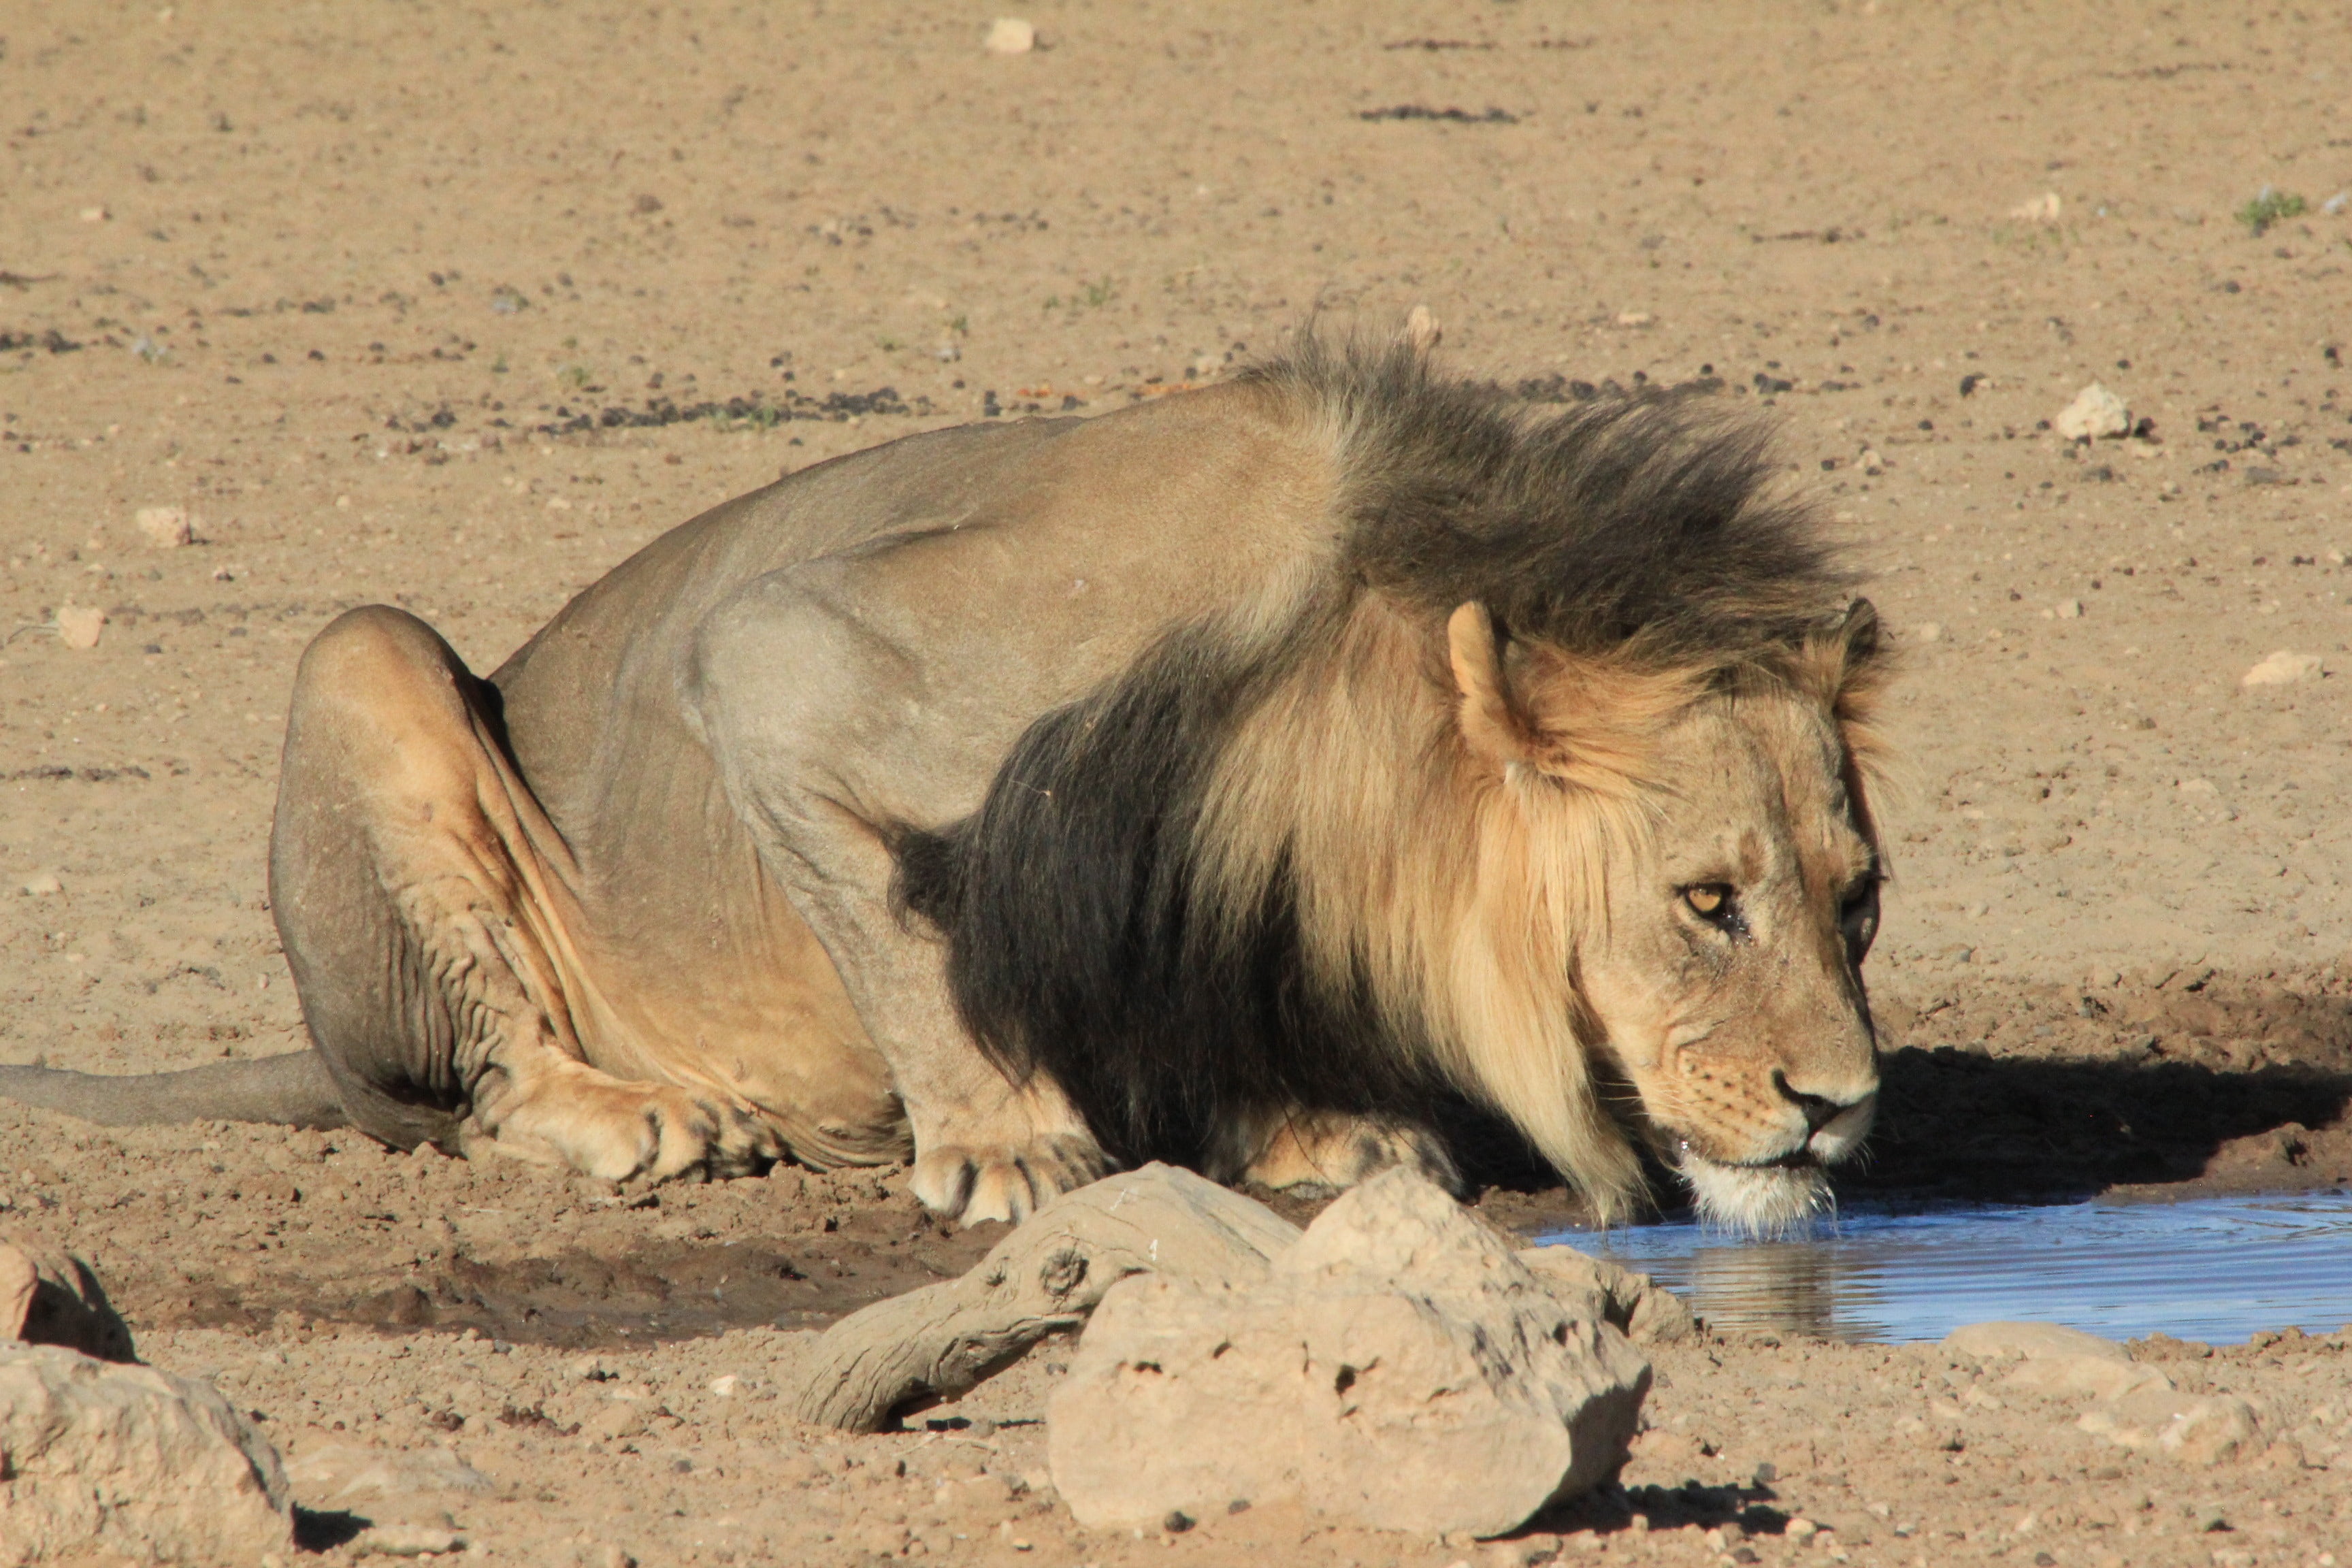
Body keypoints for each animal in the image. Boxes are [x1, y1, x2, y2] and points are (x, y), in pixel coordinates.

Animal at [0, 334, 1887, 1233]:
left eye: (1857, 906)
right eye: (1705, 902)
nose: (1842, 1105)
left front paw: (1311, 1131)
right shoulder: (782, 659)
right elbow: (911, 941)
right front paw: (1004, 1147)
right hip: (366, 659)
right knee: (474, 1085)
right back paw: (642, 1114)